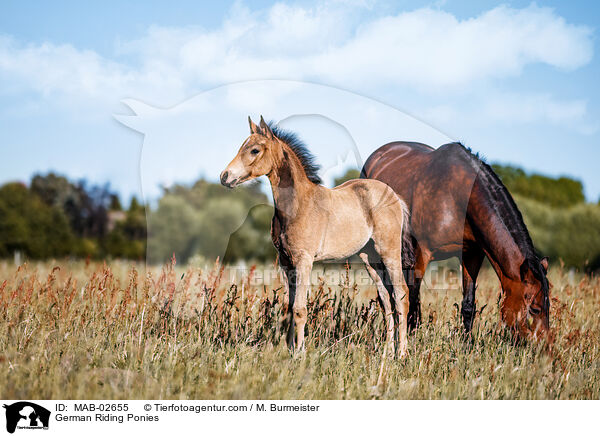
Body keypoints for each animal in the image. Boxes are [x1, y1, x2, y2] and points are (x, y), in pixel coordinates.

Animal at [220, 116, 412, 358]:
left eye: (254, 150)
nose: (224, 177)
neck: (297, 205)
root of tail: (395, 196)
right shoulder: (286, 262)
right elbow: (289, 307)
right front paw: (290, 351)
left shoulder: (304, 260)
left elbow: (300, 309)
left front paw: (300, 354)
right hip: (370, 258)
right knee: (387, 300)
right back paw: (387, 352)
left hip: (389, 252)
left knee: (401, 295)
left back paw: (402, 353)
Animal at [360, 141, 548, 338]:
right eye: (535, 309)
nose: (544, 344)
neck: (456, 197)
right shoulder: (421, 254)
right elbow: (411, 300)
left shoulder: (472, 255)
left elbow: (468, 304)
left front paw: (467, 342)